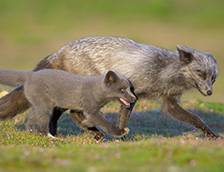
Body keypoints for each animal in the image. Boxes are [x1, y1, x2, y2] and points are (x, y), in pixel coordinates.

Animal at [0, 37, 218, 139]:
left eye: (213, 78)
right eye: (200, 73)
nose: (209, 92)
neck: (164, 72)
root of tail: (60, 50)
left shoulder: (170, 102)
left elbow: (196, 119)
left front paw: (211, 135)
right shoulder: (132, 93)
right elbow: (123, 118)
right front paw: (122, 136)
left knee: (58, 113)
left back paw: (58, 132)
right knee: (74, 112)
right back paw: (91, 132)